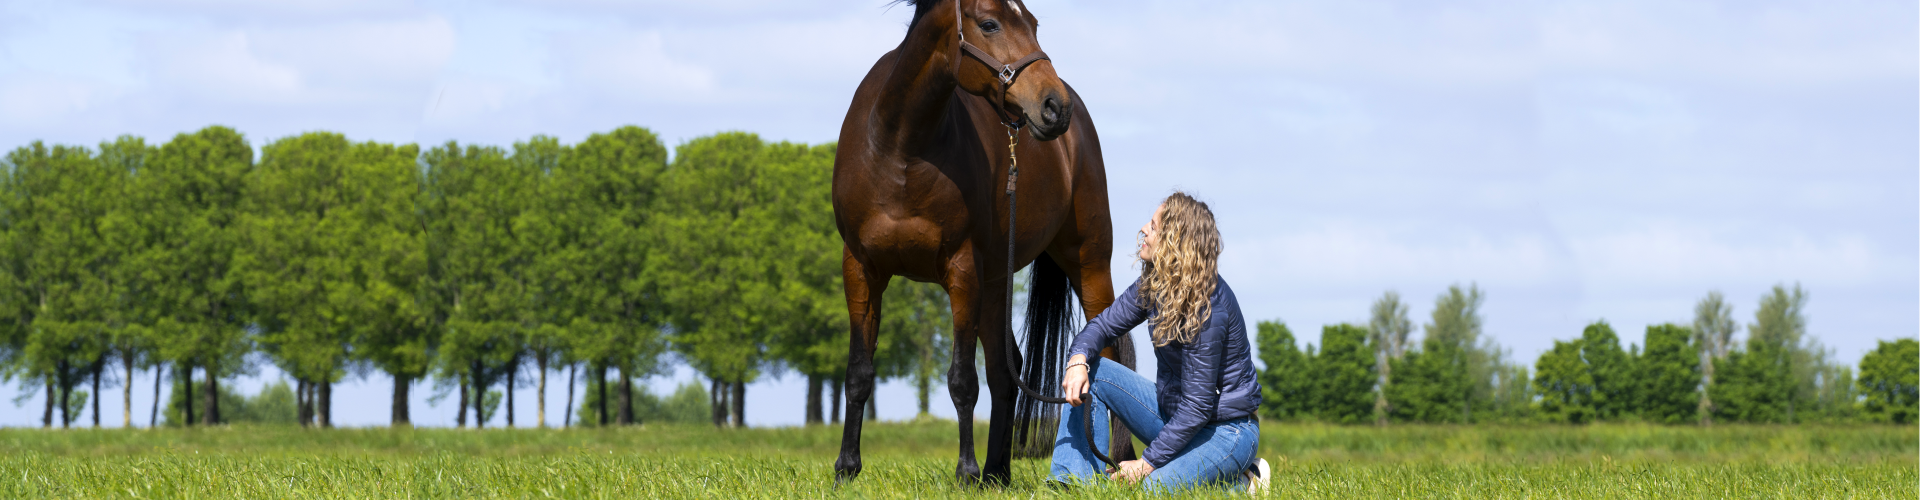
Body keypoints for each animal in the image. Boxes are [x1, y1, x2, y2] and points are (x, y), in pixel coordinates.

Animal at [831, 0, 1135, 485]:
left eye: (1034, 23)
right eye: (990, 23)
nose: (1055, 106)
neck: (900, 148)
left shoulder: (962, 271)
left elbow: (961, 379)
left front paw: (966, 471)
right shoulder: (861, 269)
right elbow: (859, 371)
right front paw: (847, 467)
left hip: (1087, 262)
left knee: (1108, 353)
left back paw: (1114, 462)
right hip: (996, 282)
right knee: (1006, 369)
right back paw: (998, 472)